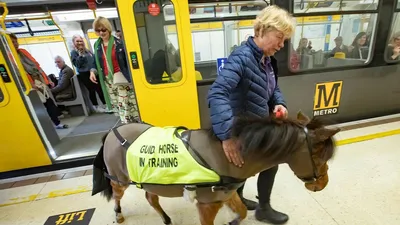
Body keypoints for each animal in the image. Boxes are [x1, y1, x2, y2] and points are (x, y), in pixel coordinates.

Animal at [92, 111, 340, 224]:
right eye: (319, 154)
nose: (323, 184)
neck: (227, 157)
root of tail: (113, 132)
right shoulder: (207, 206)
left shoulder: (226, 195)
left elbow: (242, 212)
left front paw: (233, 220)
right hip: (119, 179)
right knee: (117, 195)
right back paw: (118, 214)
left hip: (151, 181)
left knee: (151, 198)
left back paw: (166, 218)